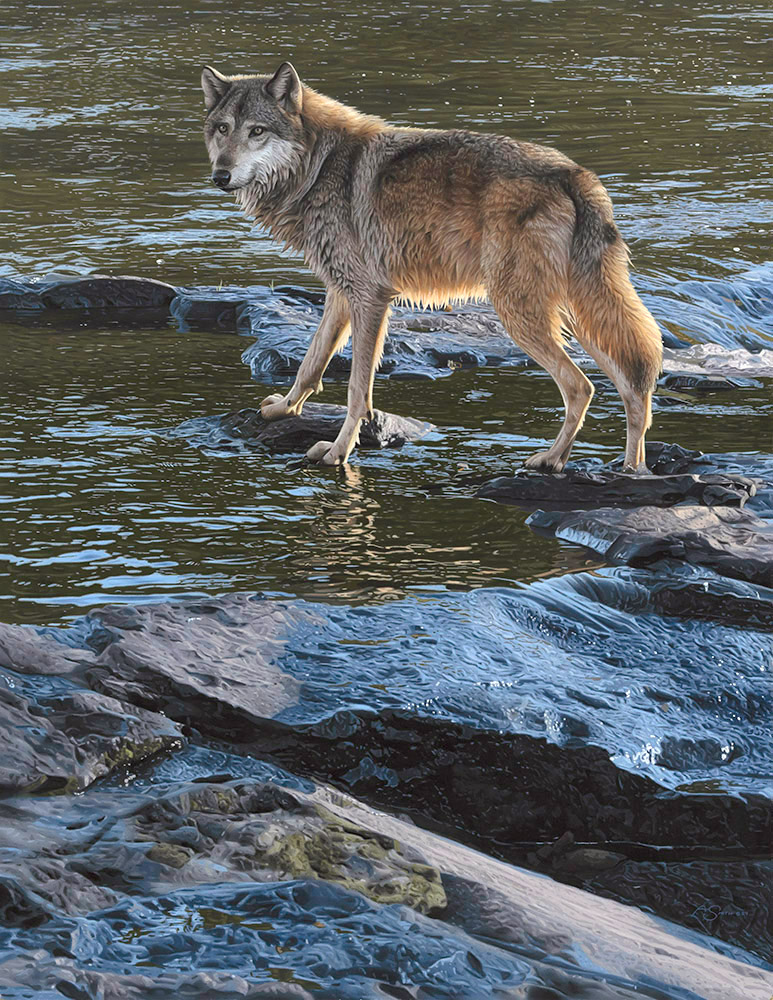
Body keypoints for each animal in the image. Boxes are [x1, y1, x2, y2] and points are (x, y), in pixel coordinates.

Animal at [202, 64, 660, 470]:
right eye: (223, 129)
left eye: (257, 131)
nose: (220, 176)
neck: (317, 166)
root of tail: (576, 174)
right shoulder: (341, 292)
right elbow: (310, 364)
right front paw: (283, 409)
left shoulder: (370, 296)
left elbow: (357, 391)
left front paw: (337, 452)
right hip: (579, 316)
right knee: (635, 384)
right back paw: (631, 469)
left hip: (521, 314)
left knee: (582, 386)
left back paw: (551, 460)